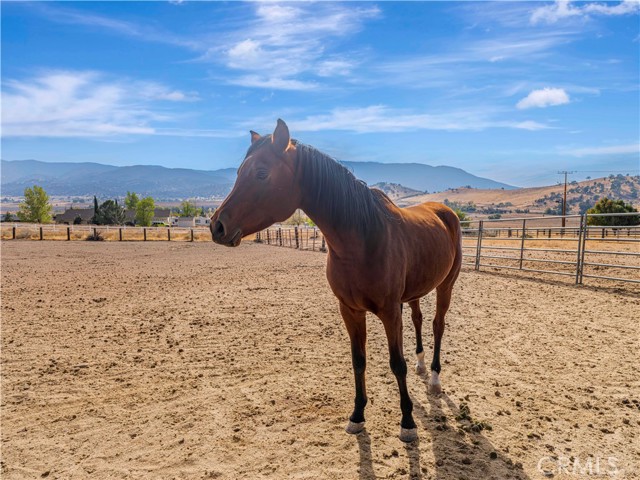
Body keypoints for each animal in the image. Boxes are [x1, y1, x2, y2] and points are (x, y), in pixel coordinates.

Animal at [212, 119, 462, 442]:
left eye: (262, 173)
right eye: (239, 173)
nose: (216, 225)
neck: (363, 239)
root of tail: (445, 212)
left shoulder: (389, 312)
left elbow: (397, 364)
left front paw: (407, 422)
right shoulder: (349, 309)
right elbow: (359, 361)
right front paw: (357, 415)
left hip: (446, 285)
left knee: (437, 325)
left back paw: (433, 378)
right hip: (415, 291)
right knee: (418, 320)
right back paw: (421, 365)